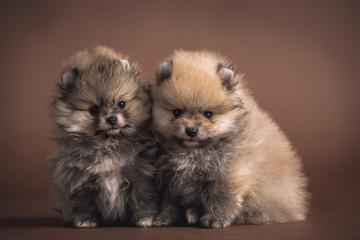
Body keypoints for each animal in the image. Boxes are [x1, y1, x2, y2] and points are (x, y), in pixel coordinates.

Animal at [47, 46, 157, 228]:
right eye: (94, 110)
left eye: (121, 104)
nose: (111, 119)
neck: (108, 144)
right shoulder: (80, 178)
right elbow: (83, 203)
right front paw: (85, 221)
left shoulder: (141, 174)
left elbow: (143, 198)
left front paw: (144, 219)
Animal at [152, 51, 310, 229]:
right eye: (177, 112)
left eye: (208, 114)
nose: (191, 130)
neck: (193, 151)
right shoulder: (170, 177)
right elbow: (169, 202)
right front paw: (164, 218)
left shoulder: (228, 173)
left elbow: (220, 198)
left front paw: (215, 219)